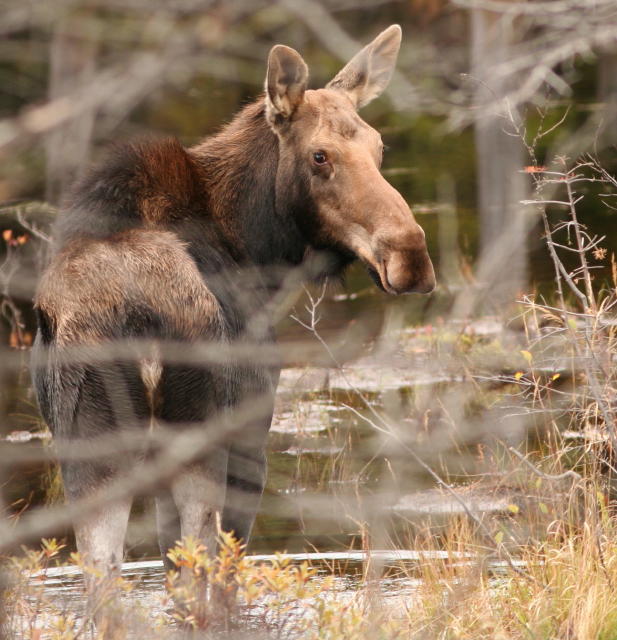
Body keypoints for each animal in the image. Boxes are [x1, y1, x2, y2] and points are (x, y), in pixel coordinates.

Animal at [31, 24, 435, 615]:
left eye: (380, 148)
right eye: (320, 155)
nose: (410, 257)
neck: (256, 245)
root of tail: (135, 310)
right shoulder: (252, 425)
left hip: (90, 443)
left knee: (106, 582)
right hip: (202, 434)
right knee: (202, 575)